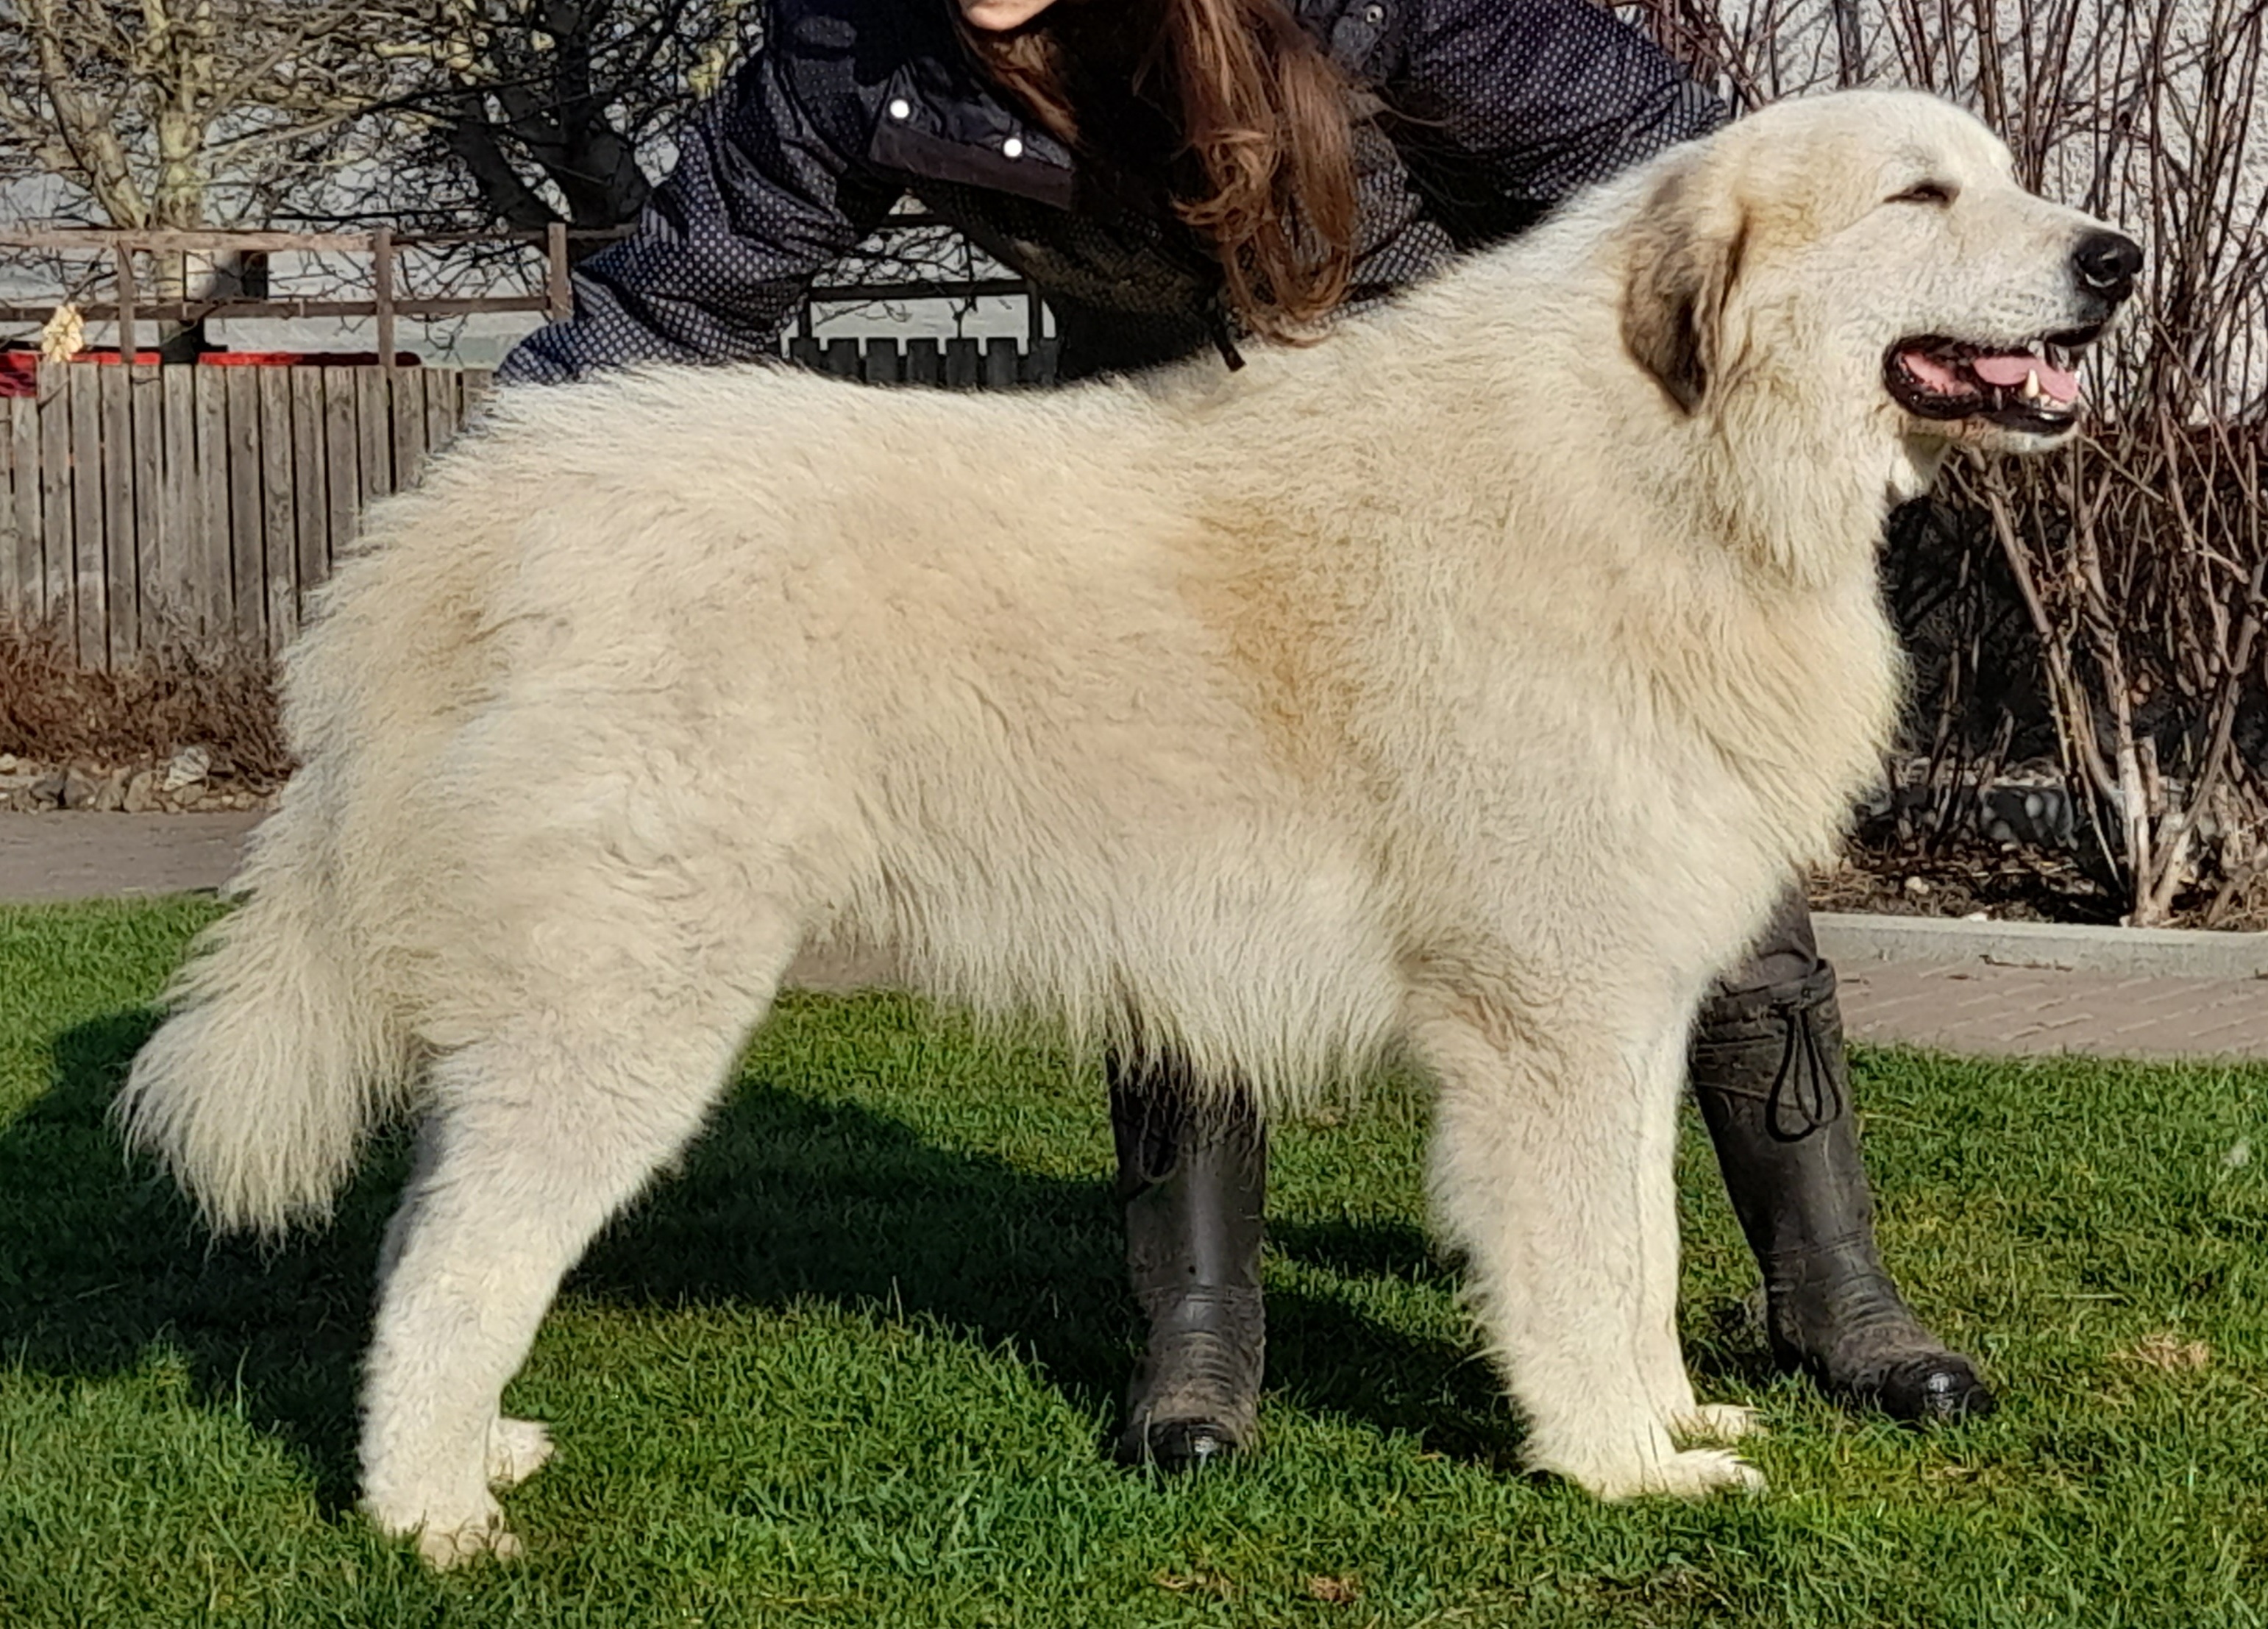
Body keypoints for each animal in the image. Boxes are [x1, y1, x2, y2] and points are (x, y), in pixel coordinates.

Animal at [119, 89, 2141, 1569]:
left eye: (2008, 180)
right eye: (1916, 194)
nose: (2116, 255)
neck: (1670, 465)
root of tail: (466, 512)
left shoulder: (1624, 1012)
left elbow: (1640, 1248)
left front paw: (1668, 1416)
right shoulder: (1545, 1023)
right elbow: (1576, 1267)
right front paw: (1613, 1470)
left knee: (431, 1232)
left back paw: (471, 1458)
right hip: (631, 1006)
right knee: (458, 1256)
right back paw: (427, 1516)